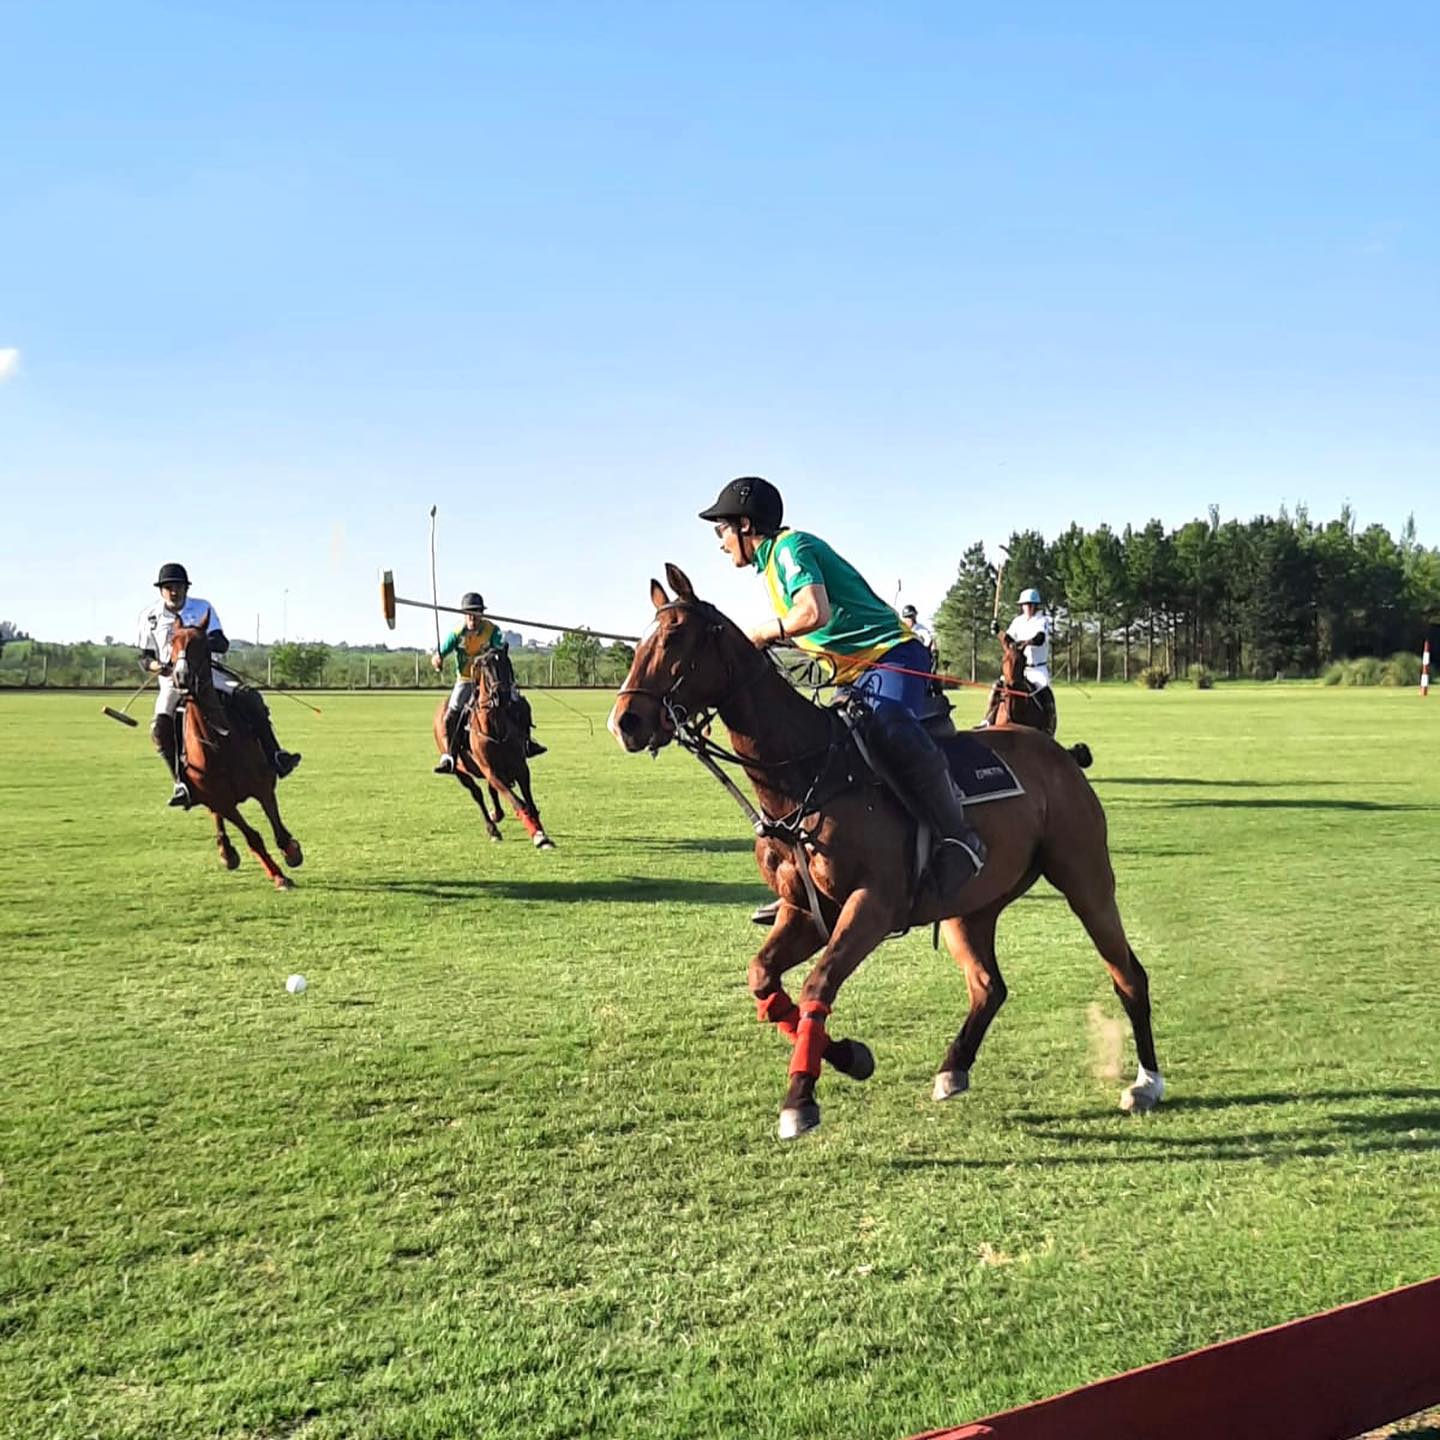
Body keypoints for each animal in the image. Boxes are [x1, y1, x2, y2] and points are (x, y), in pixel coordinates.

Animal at [168, 610, 303, 887]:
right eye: (172, 642)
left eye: (201, 644)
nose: (181, 677)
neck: (218, 744)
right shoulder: (221, 800)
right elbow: (253, 836)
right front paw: (277, 876)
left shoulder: (263, 786)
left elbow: (278, 829)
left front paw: (292, 853)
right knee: (215, 816)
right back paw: (226, 852)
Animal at [429, 648, 552, 846]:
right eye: (484, 666)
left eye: (506, 662)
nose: (501, 695)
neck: (495, 728)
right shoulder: (491, 771)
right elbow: (519, 803)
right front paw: (538, 835)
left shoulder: (521, 768)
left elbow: (530, 803)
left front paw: (542, 833)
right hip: (460, 771)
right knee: (477, 793)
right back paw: (492, 828)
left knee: (489, 790)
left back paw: (497, 815)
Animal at [607, 561, 1157, 1134]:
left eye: (674, 636)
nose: (625, 722)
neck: (808, 774)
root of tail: (1059, 753)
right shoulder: (806, 910)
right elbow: (764, 979)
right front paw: (849, 1056)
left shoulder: (873, 903)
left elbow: (817, 986)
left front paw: (800, 1097)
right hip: (971, 907)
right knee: (989, 985)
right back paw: (953, 1068)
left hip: (1085, 877)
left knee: (1127, 974)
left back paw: (1146, 1083)